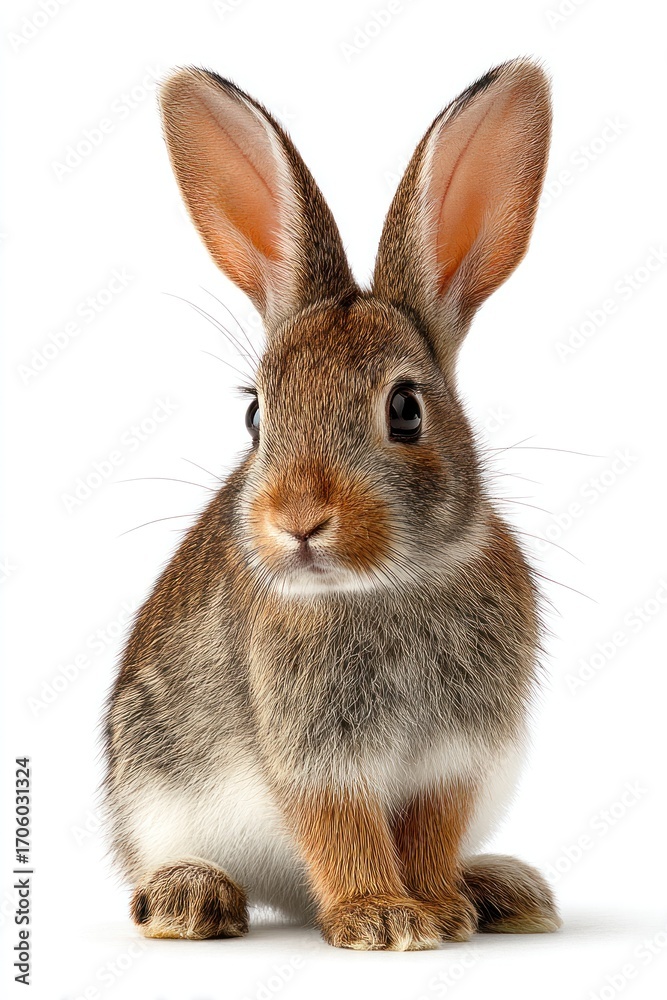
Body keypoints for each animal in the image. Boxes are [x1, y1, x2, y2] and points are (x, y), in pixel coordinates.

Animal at [103, 57, 561, 951]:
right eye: (256, 414)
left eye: (405, 410)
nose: (298, 521)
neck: (387, 585)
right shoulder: (315, 756)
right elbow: (340, 828)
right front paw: (381, 918)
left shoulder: (454, 761)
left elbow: (429, 832)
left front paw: (439, 910)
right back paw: (189, 899)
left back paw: (500, 890)